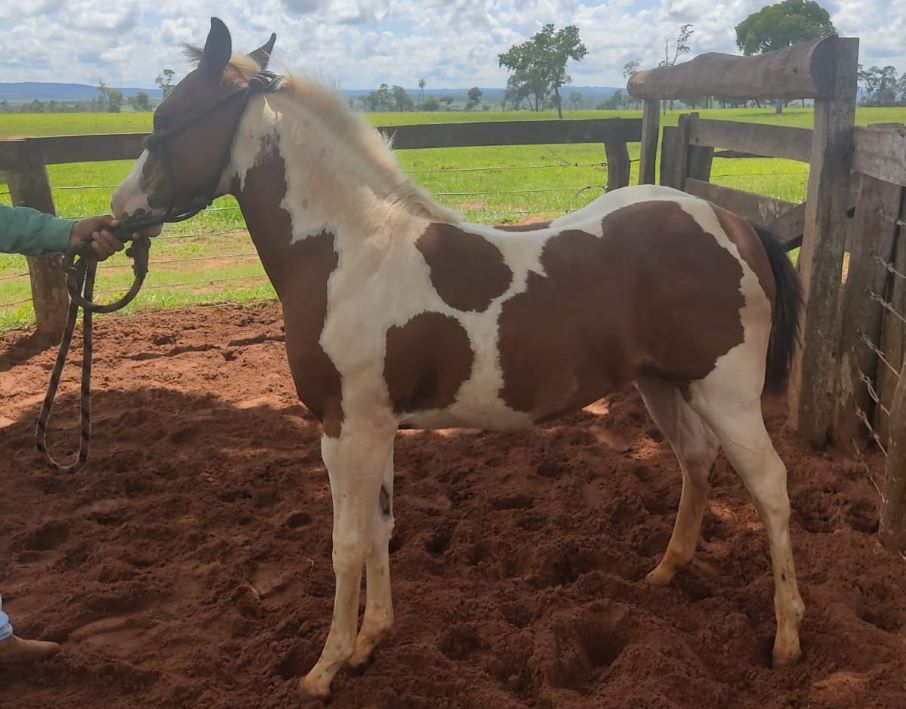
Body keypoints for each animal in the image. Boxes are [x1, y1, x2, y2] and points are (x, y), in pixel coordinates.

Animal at [112, 18, 805, 701]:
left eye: (165, 119)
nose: (121, 209)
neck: (351, 253)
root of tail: (735, 223)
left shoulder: (345, 430)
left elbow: (345, 545)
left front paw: (324, 669)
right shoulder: (376, 430)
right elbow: (380, 530)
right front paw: (369, 644)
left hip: (727, 394)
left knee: (771, 487)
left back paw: (788, 637)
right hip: (661, 384)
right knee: (696, 459)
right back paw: (666, 570)